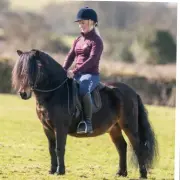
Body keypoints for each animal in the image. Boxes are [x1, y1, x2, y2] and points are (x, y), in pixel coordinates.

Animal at [11, 48, 158, 179]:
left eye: (37, 67)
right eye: (20, 69)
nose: (23, 93)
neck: (54, 93)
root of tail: (133, 92)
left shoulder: (60, 127)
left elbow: (59, 148)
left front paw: (60, 171)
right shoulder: (47, 128)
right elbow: (51, 149)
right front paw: (52, 171)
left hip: (129, 126)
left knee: (138, 147)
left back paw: (142, 175)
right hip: (114, 127)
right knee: (122, 146)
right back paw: (121, 173)